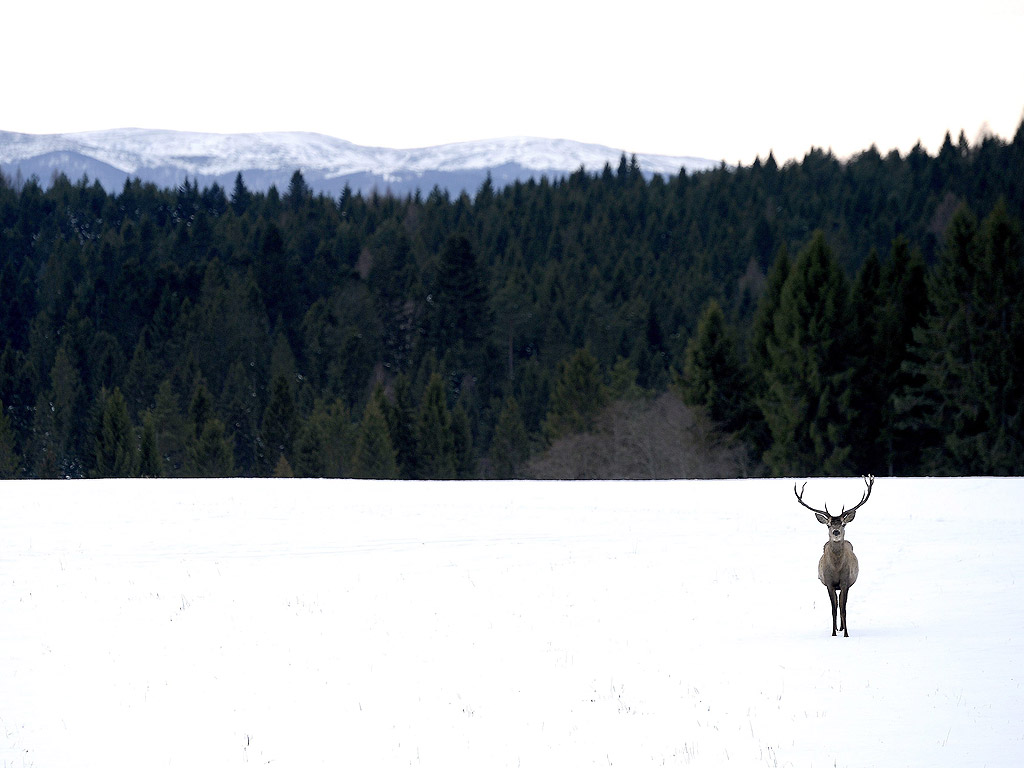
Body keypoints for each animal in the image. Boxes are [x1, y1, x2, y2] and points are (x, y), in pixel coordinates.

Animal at [794, 475, 876, 638]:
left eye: (844, 524)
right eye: (828, 524)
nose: (836, 532)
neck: (837, 569)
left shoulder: (845, 582)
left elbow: (844, 608)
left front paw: (846, 633)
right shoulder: (829, 583)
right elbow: (833, 608)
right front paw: (833, 633)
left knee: (841, 603)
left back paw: (842, 627)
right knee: (837, 603)